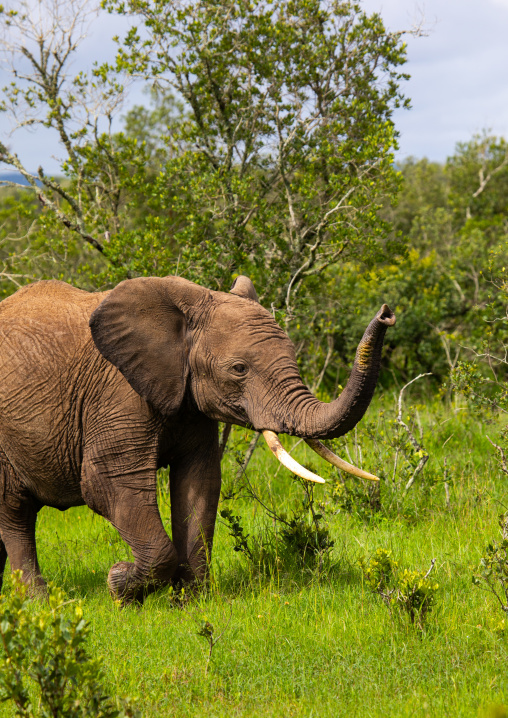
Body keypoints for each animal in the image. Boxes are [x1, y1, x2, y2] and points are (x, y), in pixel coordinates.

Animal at [0, 275, 395, 603]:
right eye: (239, 369)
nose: (387, 313)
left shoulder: (189, 399)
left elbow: (198, 480)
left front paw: (190, 602)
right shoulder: (117, 396)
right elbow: (107, 483)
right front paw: (118, 585)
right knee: (15, 513)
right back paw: (39, 603)